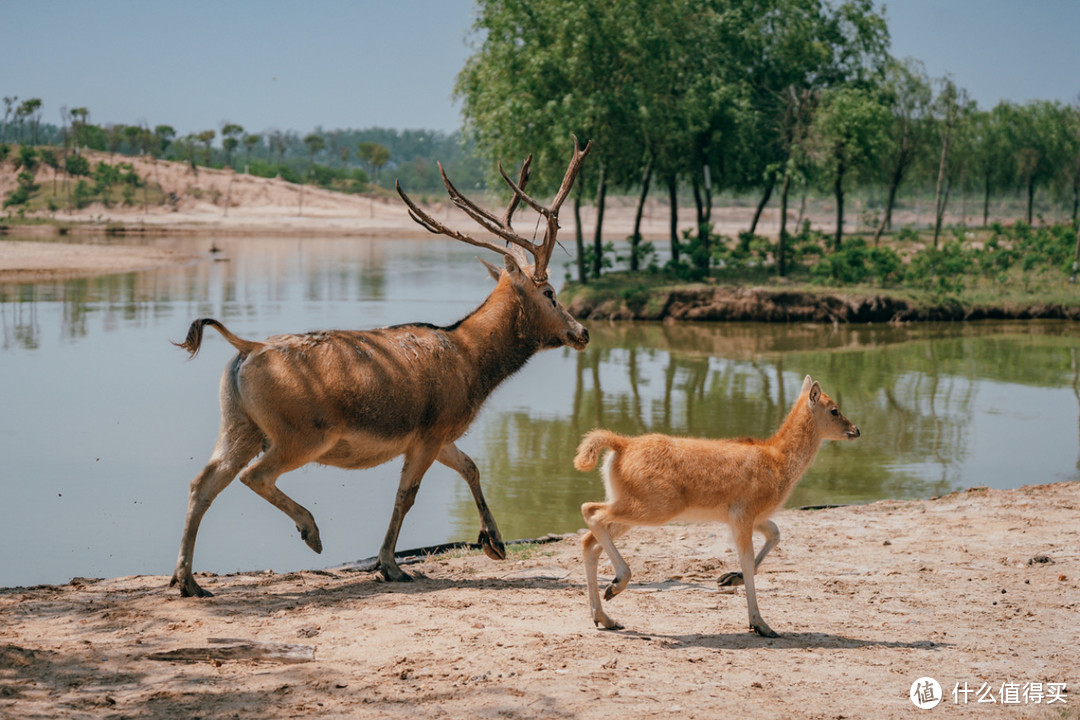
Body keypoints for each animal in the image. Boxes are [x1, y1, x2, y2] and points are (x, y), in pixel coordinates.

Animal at [170, 138, 591, 600]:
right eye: (550, 293)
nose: (582, 332)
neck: (470, 361)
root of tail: (247, 348)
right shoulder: (430, 431)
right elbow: (406, 494)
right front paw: (389, 565)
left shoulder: (439, 434)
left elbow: (470, 466)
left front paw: (494, 544)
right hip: (300, 434)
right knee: (253, 476)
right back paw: (311, 532)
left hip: (239, 425)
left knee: (203, 482)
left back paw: (188, 581)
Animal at [574, 377, 859, 634]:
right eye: (834, 409)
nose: (856, 430)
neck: (778, 461)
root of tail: (622, 445)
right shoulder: (743, 514)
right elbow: (747, 558)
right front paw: (761, 624)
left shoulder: (750, 517)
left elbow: (775, 534)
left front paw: (730, 578)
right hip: (653, 507)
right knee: (590, 510)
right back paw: (617, 584)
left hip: (633, 505)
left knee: (590, 542)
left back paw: (605, 616)